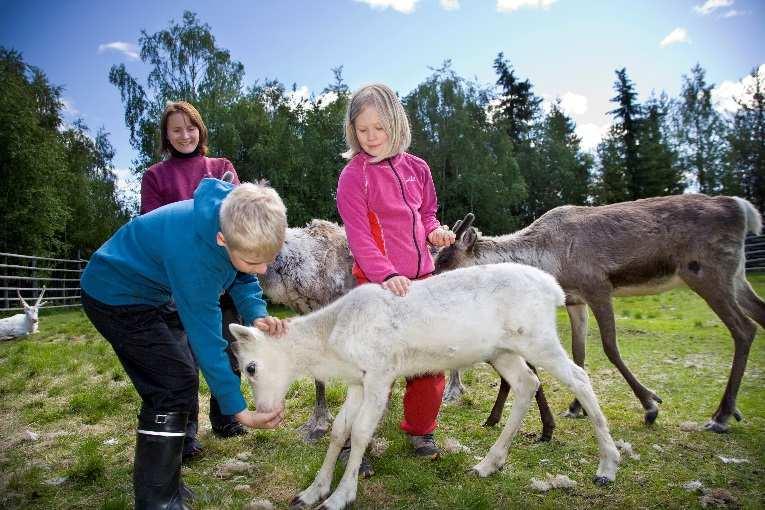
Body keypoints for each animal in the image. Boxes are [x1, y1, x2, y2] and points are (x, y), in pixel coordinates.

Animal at [230, 262, 616, 510]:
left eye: (250, 367)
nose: (265, 414)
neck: (333, 345)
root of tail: (554, 289)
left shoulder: (381, 372)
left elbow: (361, 432)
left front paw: (340, 497)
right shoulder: (358, 380)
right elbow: (339, 430)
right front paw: (311, 492)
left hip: (538, 337)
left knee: (579, 377)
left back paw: (607, 467)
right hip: (502, 350)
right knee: (527, 382)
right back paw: (488, 464)